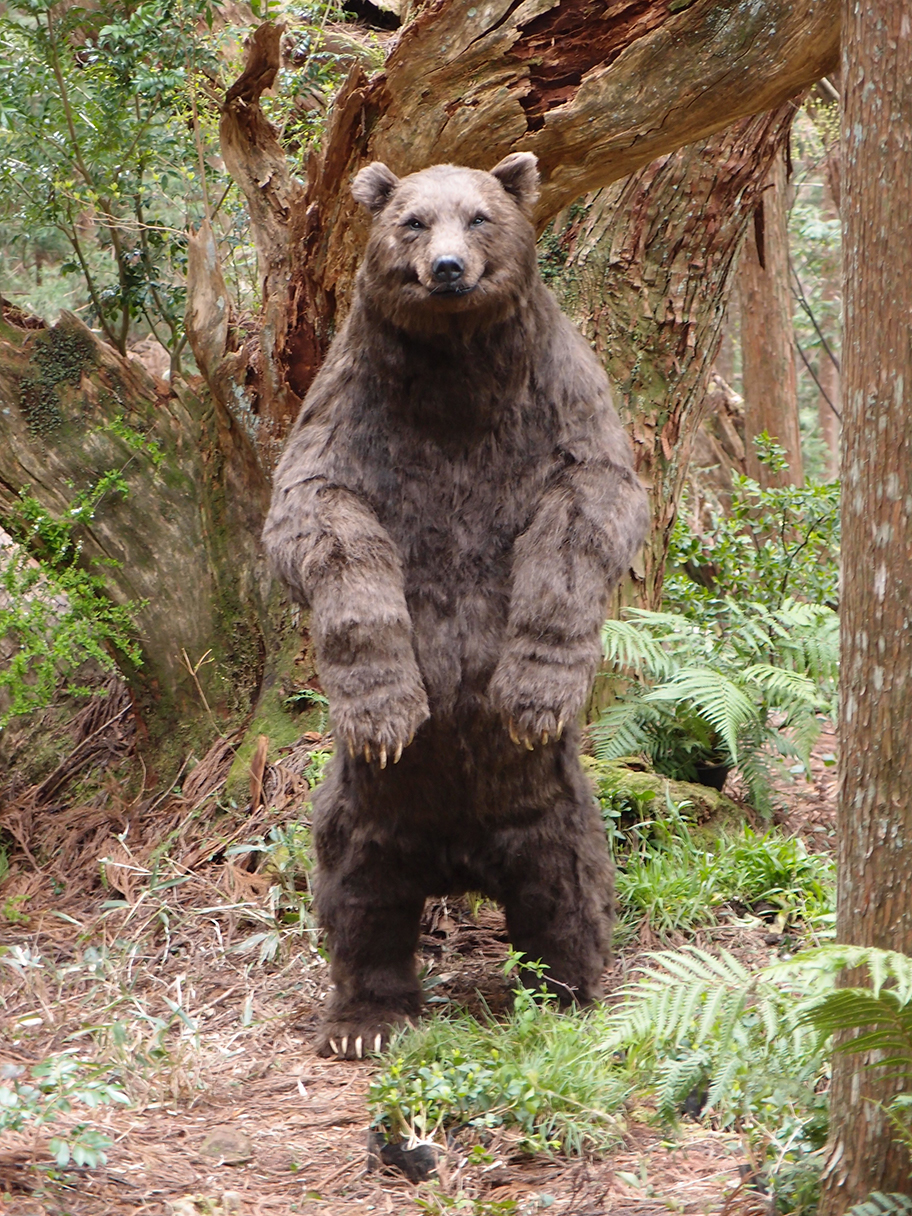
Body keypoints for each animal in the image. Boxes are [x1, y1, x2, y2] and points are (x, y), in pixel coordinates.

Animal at [262, 156, 651, 1060]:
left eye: (479, 217)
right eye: (412, 219)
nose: (447, 270)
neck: (455, 377)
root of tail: (458, 863)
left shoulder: (559, 406)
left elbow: (588, 512)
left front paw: (530, 693)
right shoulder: (351, 415)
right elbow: (318, 521)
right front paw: (389, 708)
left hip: (554, 807)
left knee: (569, 887)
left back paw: (569, 996)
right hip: (362, 812)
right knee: (358, 898)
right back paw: (365, 1020)